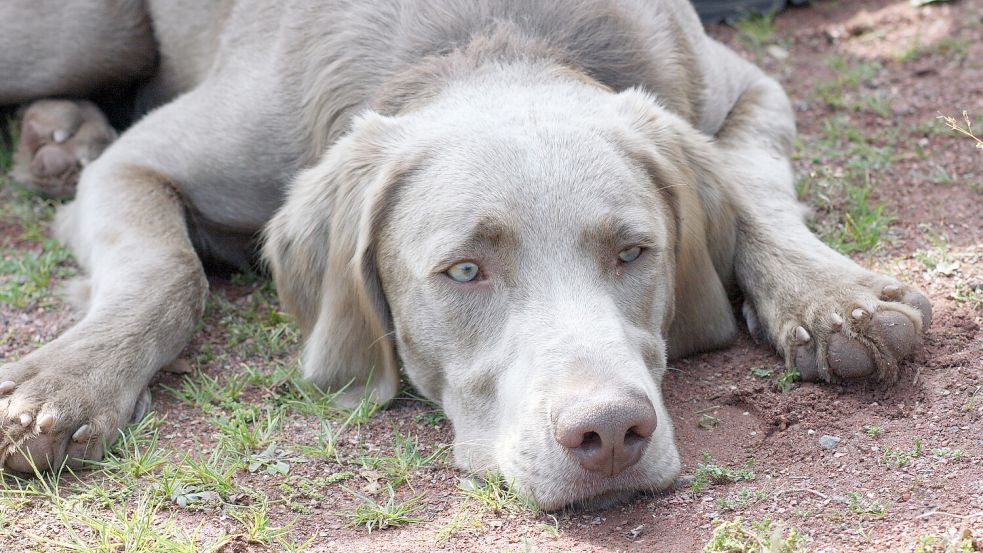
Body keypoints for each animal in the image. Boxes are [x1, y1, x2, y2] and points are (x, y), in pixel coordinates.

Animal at [0, 0, 932, 508]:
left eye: (634, 251)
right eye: (463, 271)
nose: (610, 431)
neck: (493, 36)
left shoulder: (740, 85)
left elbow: (749, 185)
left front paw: (833, 299)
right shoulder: (143, 166)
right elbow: (169, 272)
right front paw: (63, 386)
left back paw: (59, 135)